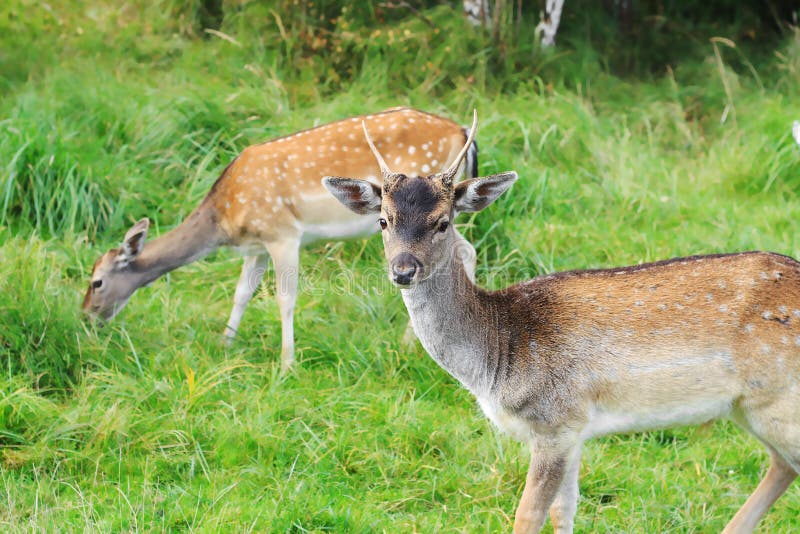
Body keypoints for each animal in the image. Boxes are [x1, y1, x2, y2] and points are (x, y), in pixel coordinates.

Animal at [83, 107, 478, 370]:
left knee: (465, 251)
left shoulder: (282, 233)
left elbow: (285, 299)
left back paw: (417, 342)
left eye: (97, 281)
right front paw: (225, 343)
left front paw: (287, 363)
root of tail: (461, 131)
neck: (226, 218)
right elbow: (242, 293)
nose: (85, 316)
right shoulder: (255, 246)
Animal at [324, 111, 800, 532]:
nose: (403, 269)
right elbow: (564, 512)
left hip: (778, 399)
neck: (497, 358)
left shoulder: (555, 419)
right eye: (383, 221)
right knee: (782, 464)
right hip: (749, 407)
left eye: (443, 222)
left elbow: (528, 516)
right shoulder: (574, 428)